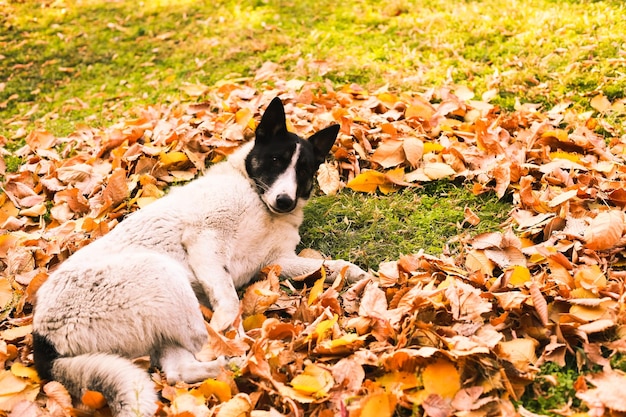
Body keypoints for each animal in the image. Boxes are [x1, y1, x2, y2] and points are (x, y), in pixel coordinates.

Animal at [30, 97, 370, 416]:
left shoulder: (277, 261)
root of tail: (42, 339)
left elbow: (333, 265)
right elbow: (229, 301)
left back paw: (232, 366)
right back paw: (244, 353)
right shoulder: (205, 241)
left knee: (179, 372)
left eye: (303, 171)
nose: (285, 201)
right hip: (161, 274)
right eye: (275, 160)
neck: (255, 195)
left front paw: (359, 276)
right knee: (203, 341)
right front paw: (230, 325)